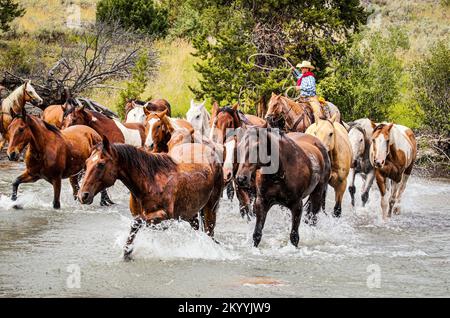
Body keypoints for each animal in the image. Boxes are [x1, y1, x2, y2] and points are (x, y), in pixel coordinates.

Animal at [79, 138, 225, 260]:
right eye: (86, 162)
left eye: (101, 164)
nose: (82, 195)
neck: (150, 182)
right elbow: (135, 228)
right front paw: (127, 253)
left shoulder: (164, 218)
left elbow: (136, 223)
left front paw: (128, 251)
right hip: (191, 213)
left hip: (210, 209)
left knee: (209, 232)